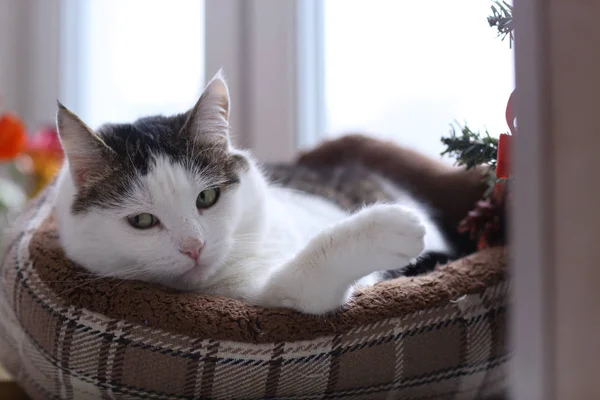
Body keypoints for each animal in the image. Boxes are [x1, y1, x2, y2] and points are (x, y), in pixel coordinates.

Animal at [55, 71, 450, 316]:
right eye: (141, 220)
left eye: (207, 198)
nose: (194, 247)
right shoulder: (267, 295)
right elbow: (304, 274)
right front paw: (390, 227)